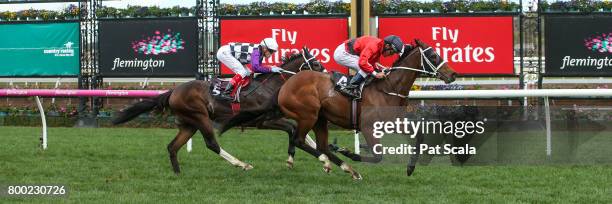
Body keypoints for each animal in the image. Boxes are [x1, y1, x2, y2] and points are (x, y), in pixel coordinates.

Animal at [113, 47, 328, 174]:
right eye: (316, 63)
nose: (330, 78)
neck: (270, 87)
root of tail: (174, 90)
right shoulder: (263, 121)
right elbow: (292, 129)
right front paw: (316, 160)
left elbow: (298, 131)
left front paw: (295, 158)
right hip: (200, 117)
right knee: (212, 144)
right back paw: (241, 164)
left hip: (189, 124)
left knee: (172, 147)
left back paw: (178, 172)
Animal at [276, 39, 454, 178]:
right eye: (434, 56)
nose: (452, 75)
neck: (388, 88)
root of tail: (286, 85)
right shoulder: (368, 127)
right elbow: (378, 156)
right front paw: (349, 152)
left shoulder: (395, 122)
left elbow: (419, 137)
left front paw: (410, 168)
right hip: (308, 115)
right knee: (299, 140)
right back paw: (331, 162)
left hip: (320, 119)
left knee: (322, 146)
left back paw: (348, 169)